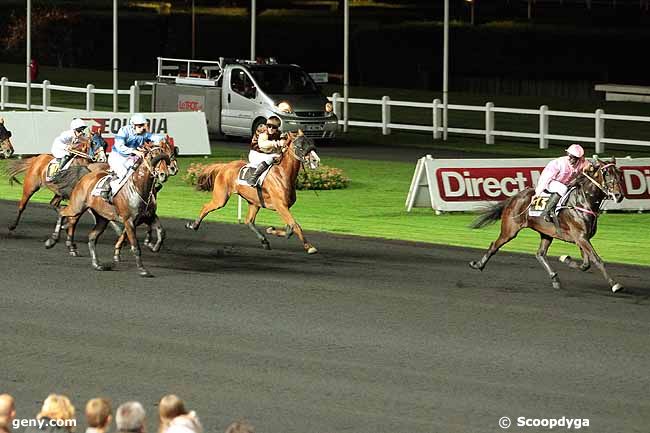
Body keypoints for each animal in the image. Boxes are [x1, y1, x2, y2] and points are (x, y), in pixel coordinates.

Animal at [49, 146, 171, 276]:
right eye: (153, 156)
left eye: (165, 157)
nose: (163, 174)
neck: (139, 188)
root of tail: (86, 176)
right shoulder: (129, 221)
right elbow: (135, 246)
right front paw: (142, 269)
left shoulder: (148, 217)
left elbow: (162, 232)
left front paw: (154, 247)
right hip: (77, 207)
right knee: (63, 213)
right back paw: (52, 241)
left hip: (102, 218)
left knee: (92, 237)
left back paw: (97, 264)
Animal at [184, 130, 320, 255]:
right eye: (300, 145)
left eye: (311, 143)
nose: (316, 161)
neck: (283, 173)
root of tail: (224, 166)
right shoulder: (280, 206)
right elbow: (295, 225)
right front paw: (309, 247)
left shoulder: (285, 206)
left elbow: (290, 227)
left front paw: (271, 230)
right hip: (220, 198)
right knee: (206, 207)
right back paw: (194, 225)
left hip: (254, 202)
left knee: (249, 221)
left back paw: (264, 241)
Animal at [466, 159, 624, 294]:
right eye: (607, 173)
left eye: (619, 174)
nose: (619, 195)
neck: (582, 202)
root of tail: (514, 198)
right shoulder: (580, 237)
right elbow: (596, 260)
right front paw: (615, 285)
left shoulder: (583, 238)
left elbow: (586, 264)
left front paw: (565, 258)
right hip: (510, 230)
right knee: (495, 245)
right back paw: (478, 265)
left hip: (547, 233)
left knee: (540, 254)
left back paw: (555, 278)